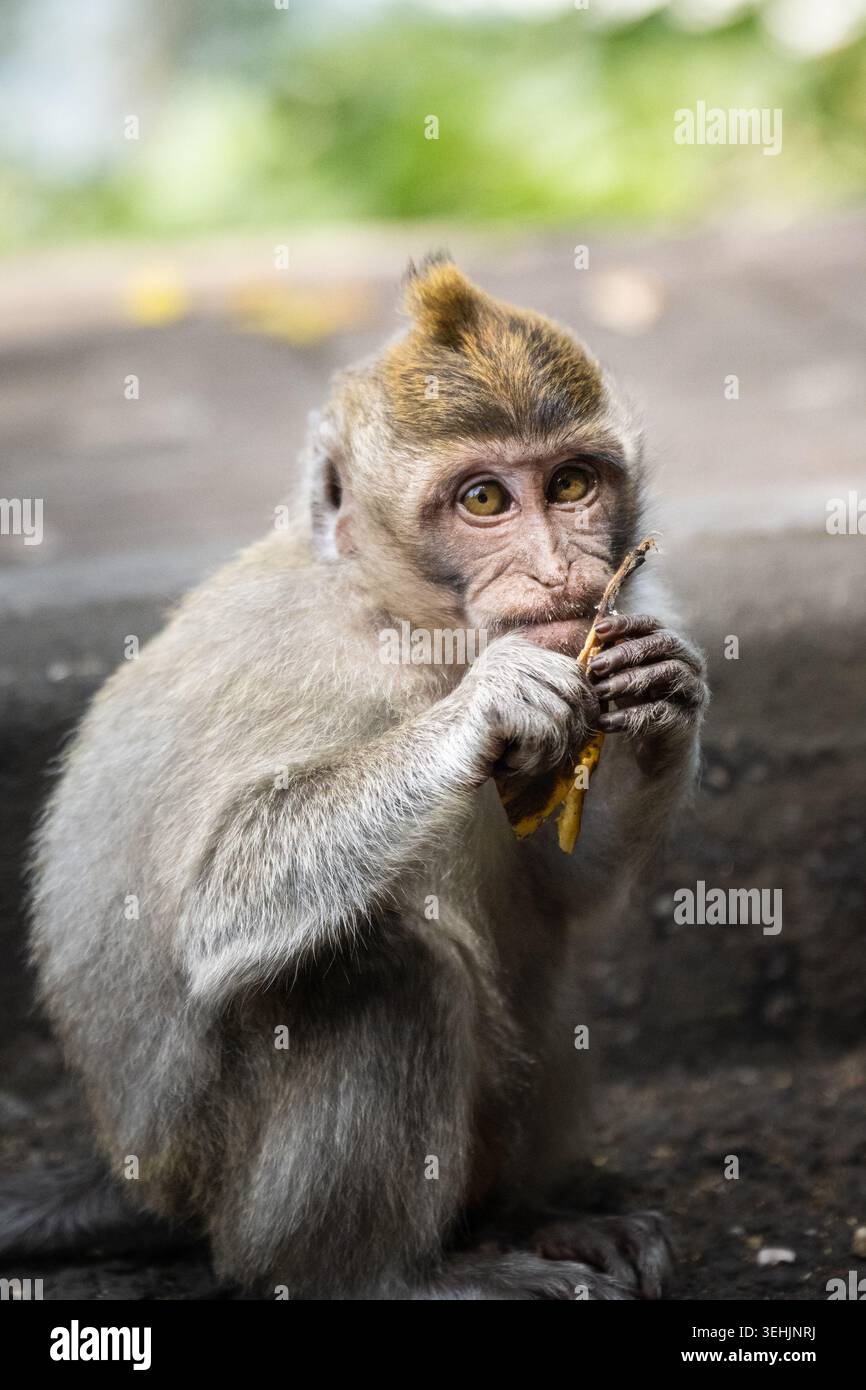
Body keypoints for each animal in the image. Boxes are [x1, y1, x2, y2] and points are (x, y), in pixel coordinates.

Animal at [15, 256, 708, 1299]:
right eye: (484, 502)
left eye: (572, 483)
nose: (561, 573)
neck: (410, 625)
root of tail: (138, 1177)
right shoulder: (297, 666)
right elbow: (219, 898)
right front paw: (483, 711)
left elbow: (563, 884)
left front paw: (664, 692)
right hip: (225, 1185)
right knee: (381, 968)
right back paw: (397, 1278)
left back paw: (535, 1218)